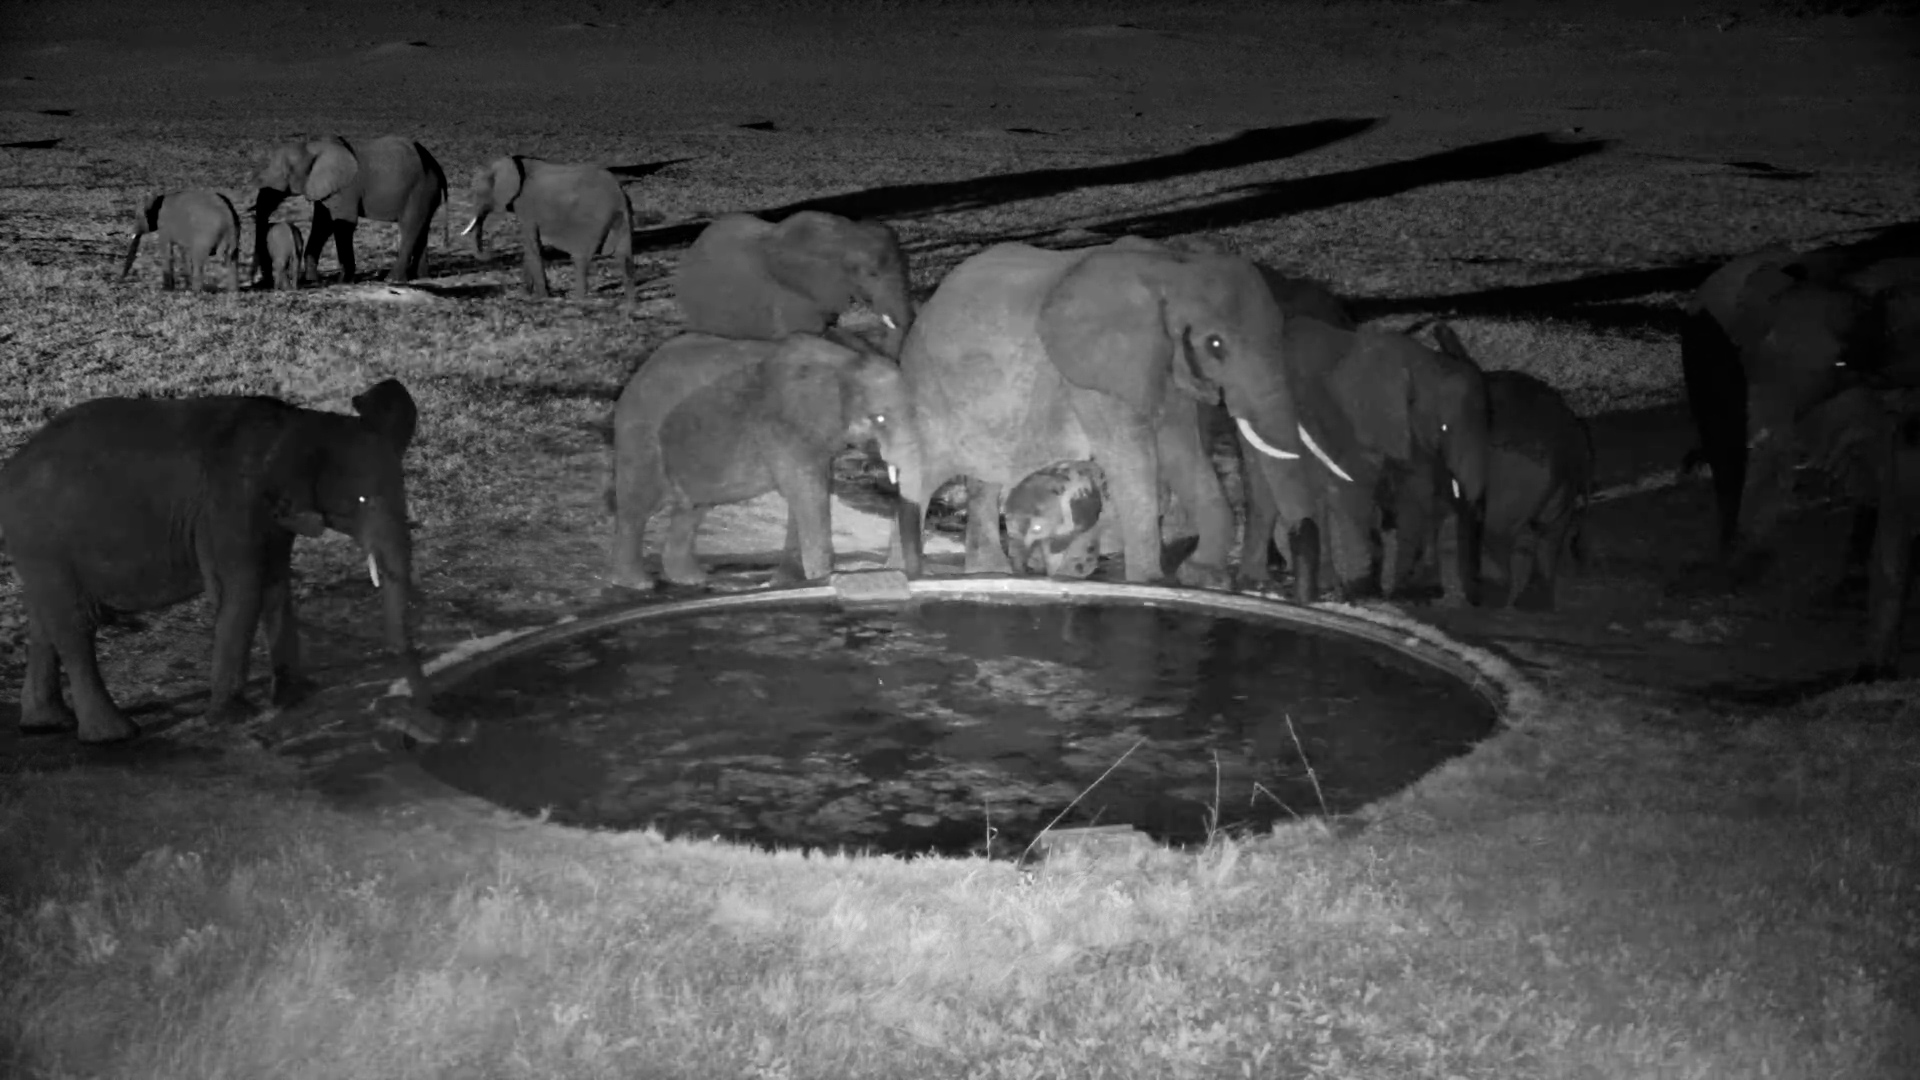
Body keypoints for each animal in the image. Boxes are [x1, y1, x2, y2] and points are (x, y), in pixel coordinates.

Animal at [0, 379, 437, 744]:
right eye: (362, 501)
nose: (417, 707)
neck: (304, 422)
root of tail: (13, 464)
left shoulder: (272, 516)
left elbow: (276, 584)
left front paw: (297, 697)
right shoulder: (232, 504)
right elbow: (243, 589)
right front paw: (234, 718)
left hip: (39, 549)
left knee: (45, 620)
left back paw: (46, 724)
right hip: (44, 540)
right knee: (74, 624)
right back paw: (115, 734)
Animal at [251, 135, 448, 287]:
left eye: (285, 173)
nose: (262, 281)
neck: (312, 147)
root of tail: (437, 166)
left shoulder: (346, 189)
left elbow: (342, 225)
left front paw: (343, 281)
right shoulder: (326, 190)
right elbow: (322, 225)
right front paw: (312, 281)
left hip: (420, 190)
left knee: (409, 227)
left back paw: (392, 280)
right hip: (426, 193)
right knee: (422, 228)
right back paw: (421, 277)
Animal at [461, 155, 636, 302]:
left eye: (478, 193)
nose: (492, 250)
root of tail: (620, 194)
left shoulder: (527, 207)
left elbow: (533, 245)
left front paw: (542, 297)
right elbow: (531, 248)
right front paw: (525, 294)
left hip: (593, 219)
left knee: (580, 257)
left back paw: (577, 299)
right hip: (622, 217)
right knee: (624, 256)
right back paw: (630, 302)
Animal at [608, 332, 923, 591]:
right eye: (879, 419)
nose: (909, 574)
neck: (846, 361)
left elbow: (811, 489)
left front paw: (790, 582)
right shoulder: (781, 427)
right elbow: (807, 490)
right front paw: (822, 579)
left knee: (693, 508)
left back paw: (690, 579)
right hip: (640, 434)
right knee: (638, 505)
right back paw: (637, 584)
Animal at [887, 237, 1355, 588]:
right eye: (1216, 345)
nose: (1306, 588)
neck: (1172, 267)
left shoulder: (1166, 366)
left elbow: (1182, 451)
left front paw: (1201, 577)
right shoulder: (1092, 375)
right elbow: (1132, 460)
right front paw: (1150, 583)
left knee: (985, 480)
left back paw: (988, 573)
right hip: (926, 388)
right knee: (922, 479)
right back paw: (907, 574)